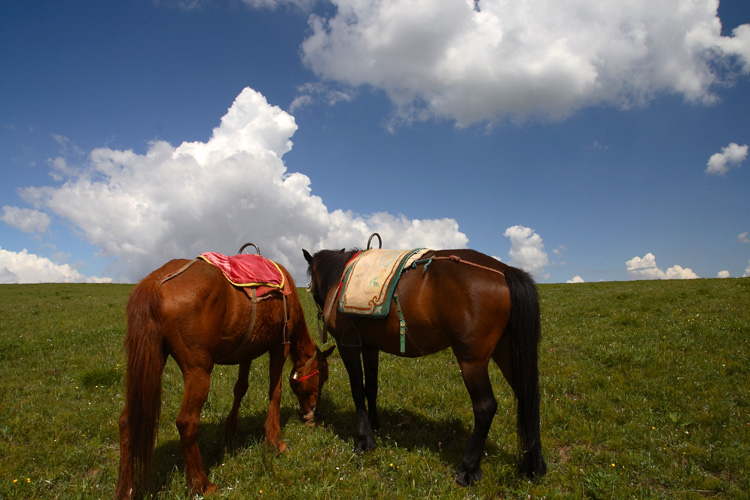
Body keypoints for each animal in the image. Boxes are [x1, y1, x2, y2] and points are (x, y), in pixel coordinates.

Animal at [116, 256, 334, 498]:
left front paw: (229, 431)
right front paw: (274, 440)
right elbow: (275, 392)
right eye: (322, 376)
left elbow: (240, 388)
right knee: (186, 422)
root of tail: (156, 281)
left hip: (152, 360)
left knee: (127, 421)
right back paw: (201, 483)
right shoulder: (280, 347)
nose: (312, 413)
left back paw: (126, 489)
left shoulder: (247, 351)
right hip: (198, 372)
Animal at [304, 248, 548, 486]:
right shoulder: (370, 347)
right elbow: (370, 388)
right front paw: (375, 428)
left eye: (311, 282)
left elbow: (357, 391)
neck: (339, 277)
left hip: (472, 362)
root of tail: (504, 270)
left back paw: (468, 469)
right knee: (528, 398)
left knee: (486, 407)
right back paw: (534, 466)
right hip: (507, 354)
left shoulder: (349, 345)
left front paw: (365, 440)